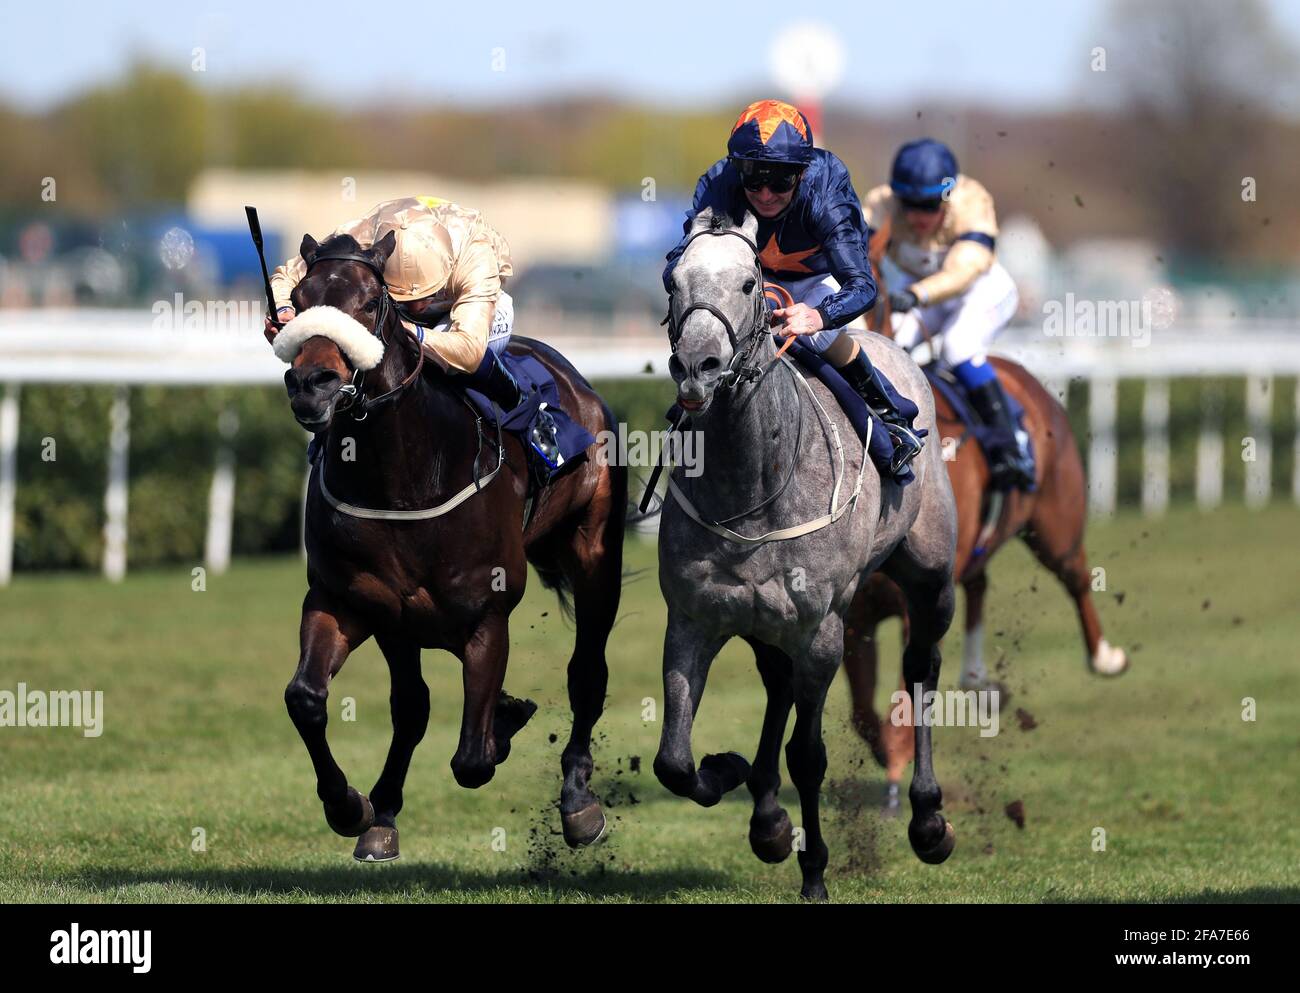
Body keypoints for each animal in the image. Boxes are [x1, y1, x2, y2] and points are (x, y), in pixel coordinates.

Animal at [276, 231, 621, 863]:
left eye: (370, 303)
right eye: (298, 300)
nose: (312, 384)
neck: (403, 477)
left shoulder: (487, 615)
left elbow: (473, 759)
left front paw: (502, 723)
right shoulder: (354, 602)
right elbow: (310, 699)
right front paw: (355, 808)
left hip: (594, 558)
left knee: (587, 673)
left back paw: (579, 802)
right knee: (410, 707)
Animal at [655, 207, 961, 899]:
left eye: (748, 284)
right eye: (673, 282)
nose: (697, 366)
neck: (753, 482)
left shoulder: (822, 629)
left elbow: (810, 754)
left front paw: (815, 871)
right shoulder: (694, 618)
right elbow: (674, 761)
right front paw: (729, 771)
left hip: (930, 573)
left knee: (922, 665)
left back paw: (929, 820)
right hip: (767, 622)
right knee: (777, 684)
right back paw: (768, 819)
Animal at [842, 220, 1128, 800]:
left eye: (871, 294)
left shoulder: (916, 605)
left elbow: (905, 701)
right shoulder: (855, 614)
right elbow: (863, 712)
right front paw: (889, 764)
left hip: (1055, 526)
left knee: (1077, 576)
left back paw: (1104, 655)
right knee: (978, 581)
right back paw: (977, 680)